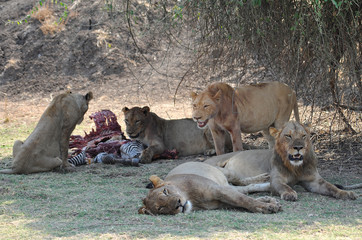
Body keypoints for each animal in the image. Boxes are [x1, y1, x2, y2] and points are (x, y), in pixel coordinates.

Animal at [137, 161, 282, 216]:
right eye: (160, 208)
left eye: (165, 192)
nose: (178, 204)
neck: (192, 199)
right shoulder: (222, 201)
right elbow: (244, 201)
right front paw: (268, 203)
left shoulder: (218, 189)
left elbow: (244, 200)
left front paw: (268, 206)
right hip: (226, 185)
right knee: (246, 188)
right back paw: (268, 192)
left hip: (225, 173)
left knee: (242, 181)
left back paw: (266, 179)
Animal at [205, 121, 358, 202]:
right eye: (288, 136)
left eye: (303, 136)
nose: (298, 147)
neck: (296, 168)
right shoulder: (276, 179)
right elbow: (284, 186)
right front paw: (290, 193)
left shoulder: (313, 181)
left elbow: (331, 187)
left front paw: (346, 193)